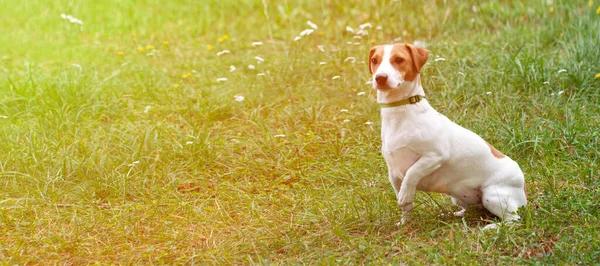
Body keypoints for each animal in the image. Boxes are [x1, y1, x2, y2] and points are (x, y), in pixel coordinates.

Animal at [368, 43, 528, 229]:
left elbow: (412, 174)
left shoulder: (434, 156)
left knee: (512, 220)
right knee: (471, 210)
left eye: (399, 59)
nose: (380, 78)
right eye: (375, 60)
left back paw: (491, 227)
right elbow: (406, 205)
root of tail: (524, 189)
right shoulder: (393, 173)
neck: (401, 114)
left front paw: (405, 195)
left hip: (493, 195)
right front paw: (405, 223)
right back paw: (453, 215)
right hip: (460, 197)